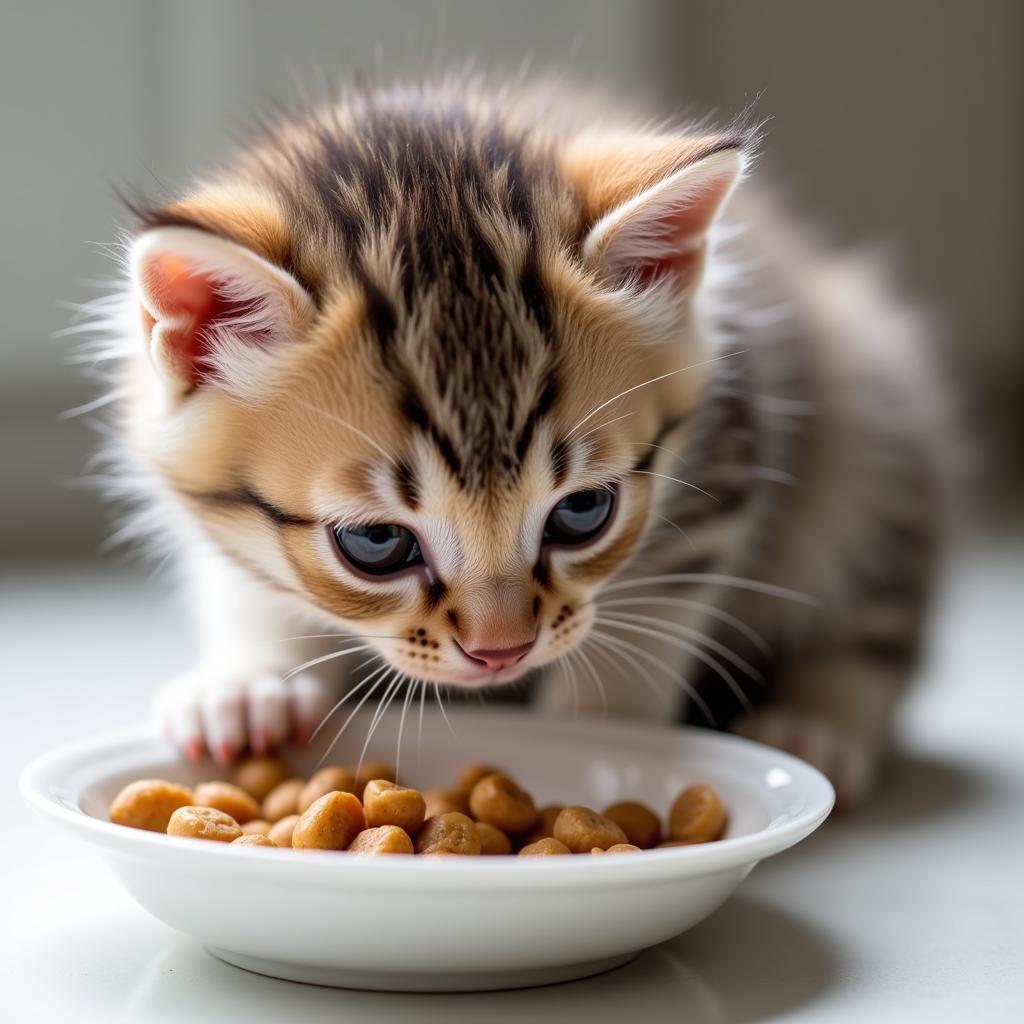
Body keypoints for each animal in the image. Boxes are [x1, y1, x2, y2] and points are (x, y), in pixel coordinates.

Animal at [92, 77, 946, 806]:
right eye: (375, 544)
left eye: (583, 512)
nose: (500, 653)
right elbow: (243, 579)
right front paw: (249, 683)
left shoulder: (731, 440)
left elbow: (653, 606)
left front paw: (601, 737)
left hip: (875, 408)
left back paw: (819, 716)